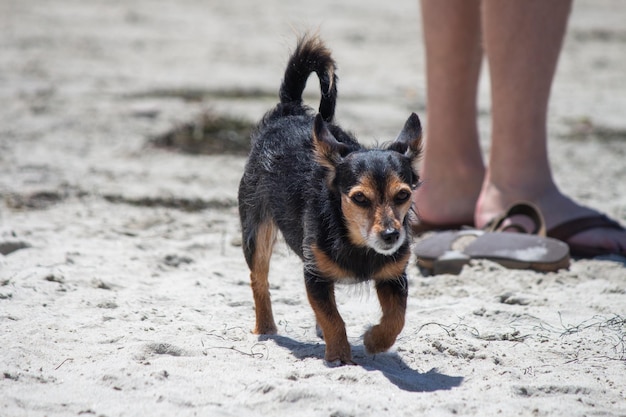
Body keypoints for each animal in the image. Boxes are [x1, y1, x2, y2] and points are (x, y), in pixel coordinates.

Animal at [236, 33, 422, 364]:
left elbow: (396, 318)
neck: (357, 242)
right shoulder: (315, 275)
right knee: (259, 279)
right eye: (359, 199)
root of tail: (289, 110)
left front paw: (374, 341)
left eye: (403, 195)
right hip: (256, 233)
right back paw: (265, 327)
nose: (391, 235)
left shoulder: (393, 277)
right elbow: (333, 318)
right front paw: (339, 357)